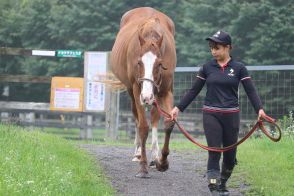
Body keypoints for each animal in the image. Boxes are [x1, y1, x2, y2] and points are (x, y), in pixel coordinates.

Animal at [109, 6, 175, 178]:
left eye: (159, 64)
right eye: (139, 62)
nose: (146, 96)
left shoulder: (165, 91)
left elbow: (168, 123)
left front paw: (162, 161)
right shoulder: (137, 89)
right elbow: (143, 127)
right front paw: (143, 166)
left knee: (154, 117)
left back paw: (154, 156)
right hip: (132, 93)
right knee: (137, 118)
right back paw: (139, 153)